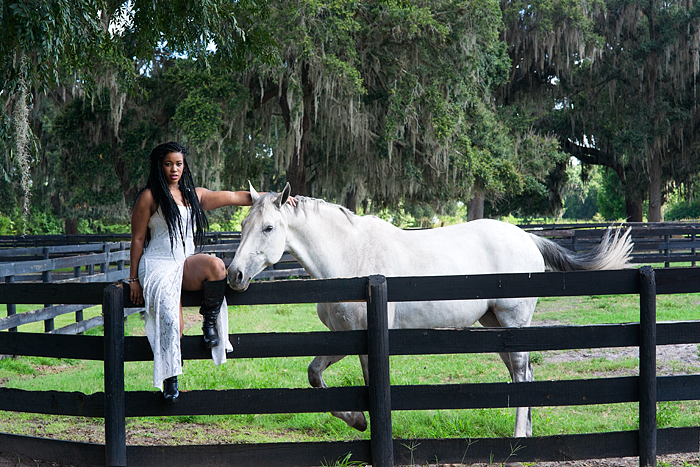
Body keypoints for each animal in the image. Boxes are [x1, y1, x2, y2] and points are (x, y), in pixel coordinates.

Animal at [227, 184, 632, 438]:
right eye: (243, 225)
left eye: (268, 227)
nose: (234, 275)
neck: (349, 258)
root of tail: (527, 237)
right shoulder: (343, 337)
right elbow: (314, 375)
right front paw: (356, 421)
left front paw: (368, 426)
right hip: (496, 327)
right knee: (524, 376)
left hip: (514, 323)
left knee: (521, 374)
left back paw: (519, 436)